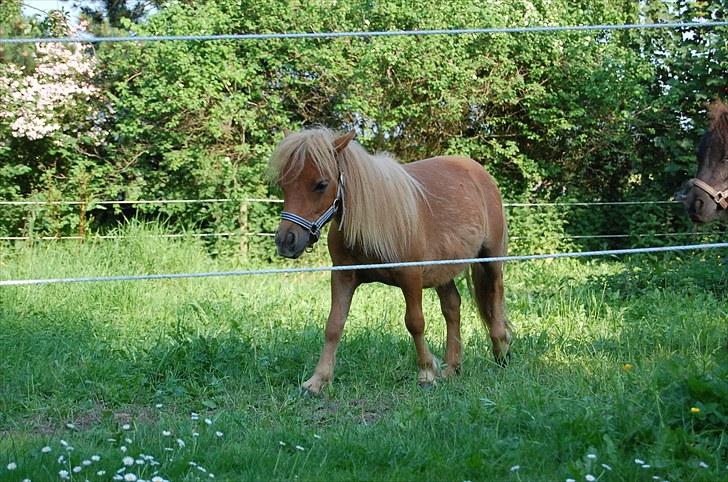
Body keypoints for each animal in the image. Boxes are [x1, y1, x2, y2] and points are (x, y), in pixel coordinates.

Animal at [268, 127, 512, 392]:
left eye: (321, 184)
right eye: (283, 184)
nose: (286, 241)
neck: (371, 221)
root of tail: (479, 172)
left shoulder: (410, 276)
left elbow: (415, 322)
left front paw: (426, 372)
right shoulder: (343, 276)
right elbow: (334, 325)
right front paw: (318, 380)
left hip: (490, 260)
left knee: (495, 299)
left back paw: (502, 352)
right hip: (442, 271)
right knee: (452, 307)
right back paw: (452, 368)